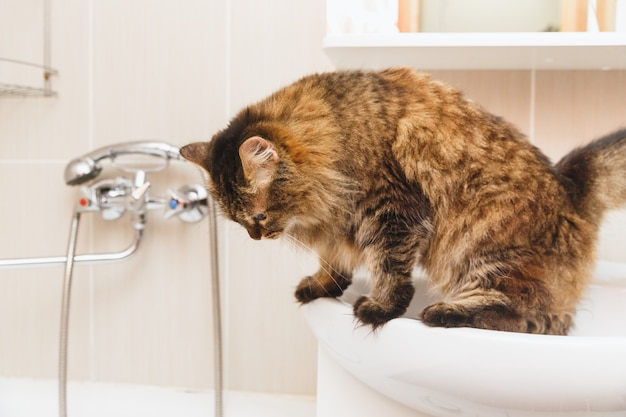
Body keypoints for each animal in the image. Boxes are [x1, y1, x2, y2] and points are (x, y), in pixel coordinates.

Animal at [179, 67, 624, 334]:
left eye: (258, 216)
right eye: (238, 221)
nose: (255, 237)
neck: (339, 129)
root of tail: (570, 186)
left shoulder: (391, 212)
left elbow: (388, 269)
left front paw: (379, 307)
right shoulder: (338, 223)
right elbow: (332, 260)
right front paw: (322, 285)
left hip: (482, 251)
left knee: (530, 316)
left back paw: (444, 312)